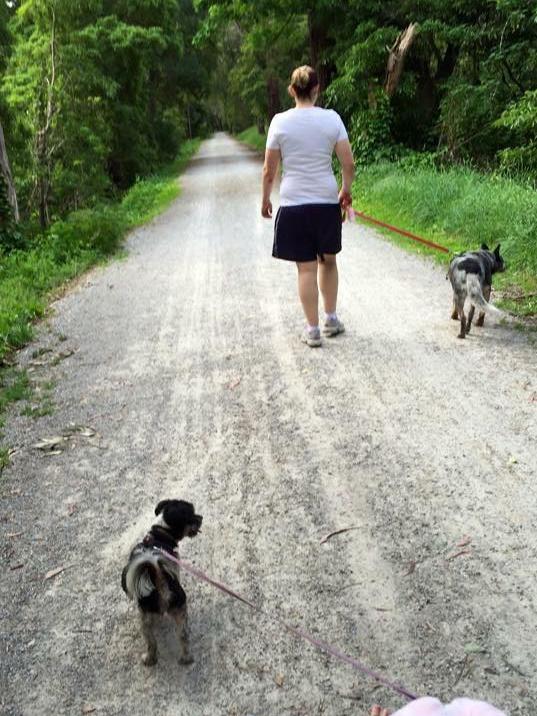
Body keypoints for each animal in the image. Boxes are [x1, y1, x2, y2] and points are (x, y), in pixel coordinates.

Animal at [121, 500, 203, 664]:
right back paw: (184, 659)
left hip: (145, 619)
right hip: (177, 614)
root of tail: (159, 577)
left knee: (154, 643)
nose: (201, 518)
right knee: (181, 637)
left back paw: (150, 659)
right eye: (191, 516)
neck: (160, 533)